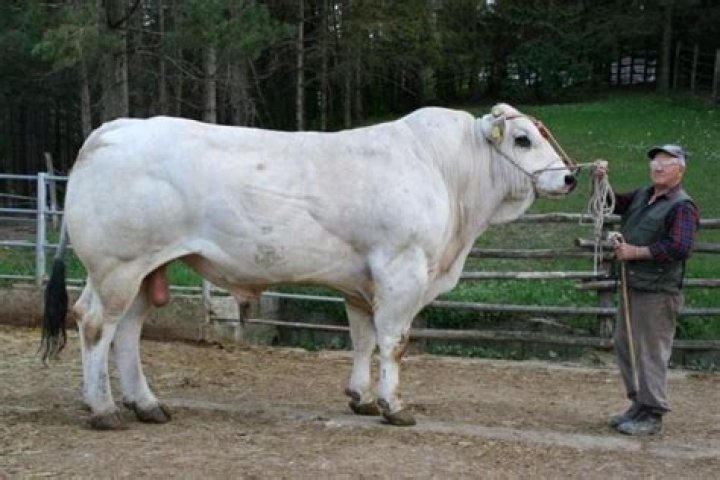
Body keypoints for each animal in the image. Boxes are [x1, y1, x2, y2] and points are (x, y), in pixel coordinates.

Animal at [42, 103, 577, 430]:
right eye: (524, 139)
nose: (570, 177)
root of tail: (113, 128)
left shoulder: (360, 282)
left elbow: (362, 338)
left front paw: (360, 397)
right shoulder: (402, 269)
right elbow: (394, 342)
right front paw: (394, 406)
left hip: (142, 269)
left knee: (127, 331)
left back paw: (146, 404)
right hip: (117, 266)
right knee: (95, 325)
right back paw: (103, 409)